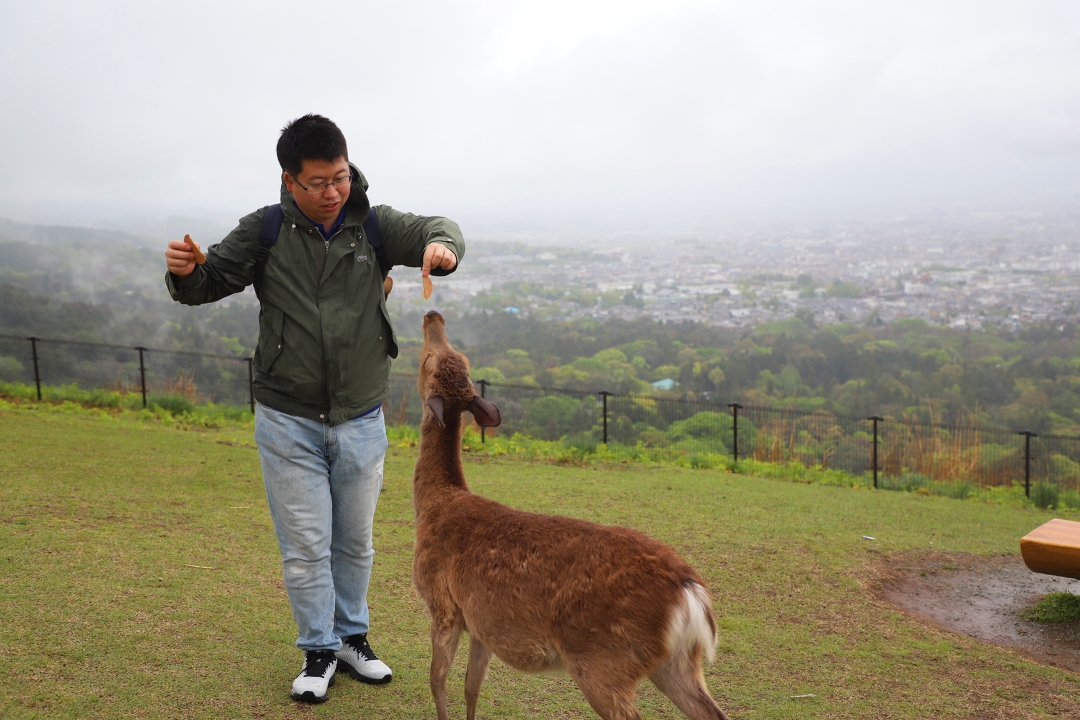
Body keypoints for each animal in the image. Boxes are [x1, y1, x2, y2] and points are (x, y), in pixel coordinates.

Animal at [412, 310, 734, 720]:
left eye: (427, 359)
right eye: (459, 356)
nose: (432, 315)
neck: (434, 504)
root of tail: (691, 594)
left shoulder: (442, 603)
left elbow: (437, 680)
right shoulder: (481, 621)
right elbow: (472, 687)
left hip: (602, 660)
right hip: (677, 662)